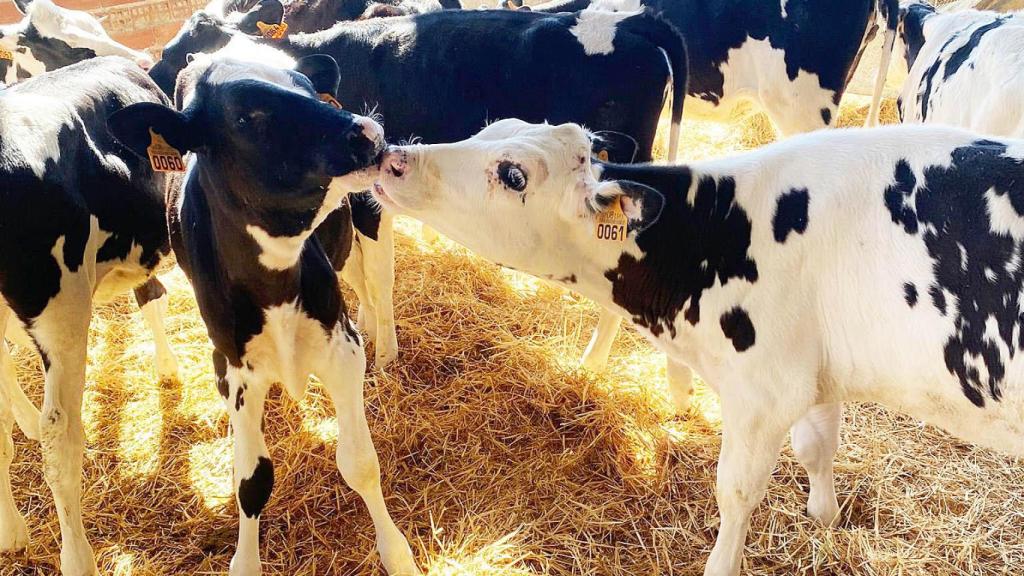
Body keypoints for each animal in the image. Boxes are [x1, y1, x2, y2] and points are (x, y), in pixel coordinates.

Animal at [108, 56, 419, 576]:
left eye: (310, 88)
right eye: (245, 117)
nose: (367, 132)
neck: (275, 284)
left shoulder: (340, 348)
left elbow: (359, 462)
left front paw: (397, 554)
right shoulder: (232, 371)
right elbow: (251, 482)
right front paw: (246, 559)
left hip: (365, 224)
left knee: (375, 282)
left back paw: (383, 345)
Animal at [369, 118, 1024, 575]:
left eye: (513, 174)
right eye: (488, 129)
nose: (393, 157)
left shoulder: (762, 391)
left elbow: (735, 493)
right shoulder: (817, 371)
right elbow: (816, 448)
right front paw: (826, 522)